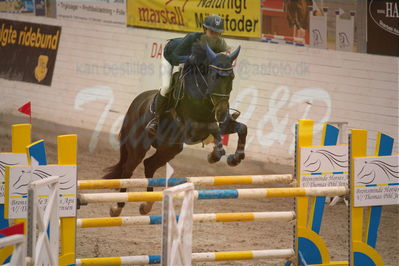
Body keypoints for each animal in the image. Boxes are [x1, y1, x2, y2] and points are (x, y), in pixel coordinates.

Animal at [102, 43, 247, 217]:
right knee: (128, 170)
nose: (222, 112)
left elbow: (241, 128)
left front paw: (236, 157)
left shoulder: (222, 124)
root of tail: (137, 101)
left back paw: (147, 205)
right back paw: (117, 207)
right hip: (138, 146)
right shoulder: (192, 129)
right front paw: (215, 155)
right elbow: (214, 130)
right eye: (214, 77)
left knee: (149, 165)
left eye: (231, 77)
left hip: (170, 148)